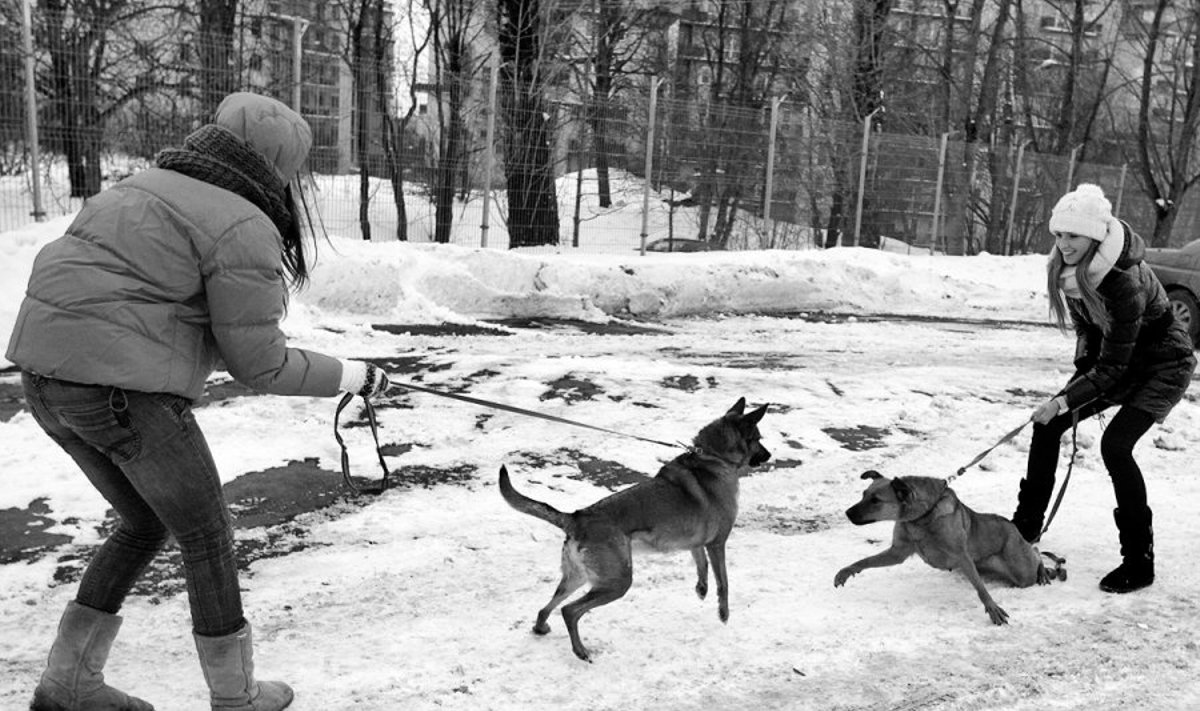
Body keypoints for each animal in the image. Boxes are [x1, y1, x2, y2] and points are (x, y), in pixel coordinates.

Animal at [496, 398, 768, 662]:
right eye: (758, 439)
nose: (769, 455)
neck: (712, 458)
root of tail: (577, 517)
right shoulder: (717, 543)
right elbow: (724, 582)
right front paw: (723, 613)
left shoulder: (697, 542)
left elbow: (702, 565)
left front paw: (701, 589)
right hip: (617, 582)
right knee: (569, 610)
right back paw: (580, 650)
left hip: (577, 577)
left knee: (547, 607)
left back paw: (541, 628)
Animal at [835, 468, 1060, 624]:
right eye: (863, 494)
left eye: (875, 500)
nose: (847, 513)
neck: (921, 517)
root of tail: (1015, 530)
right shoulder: (897, 552)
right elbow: (864, 561)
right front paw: (845, 572)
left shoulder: (962, 556)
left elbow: (981, 590)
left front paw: (992, 607)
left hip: (1021, 570)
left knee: (1036, 553)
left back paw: (1043, 572)